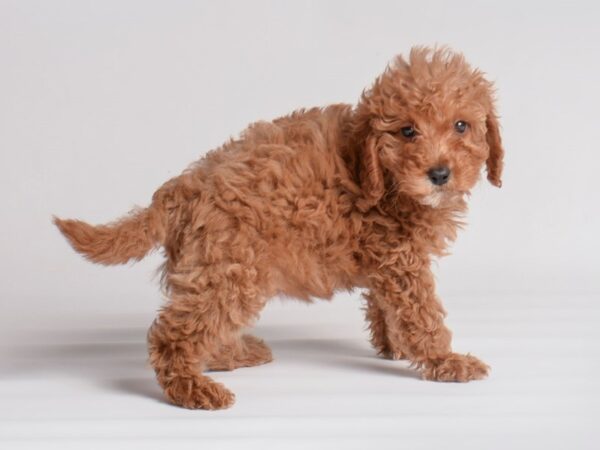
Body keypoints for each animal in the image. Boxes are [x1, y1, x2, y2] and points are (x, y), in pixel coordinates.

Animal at [56, 47, 504, 410]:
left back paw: (233, 355)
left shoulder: (388, 259)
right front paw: (445, 360)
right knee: (173, 334)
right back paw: (192, 389)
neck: (382, 177)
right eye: (408, 131)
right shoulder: (399, 257)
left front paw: (393, 347)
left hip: (209, 268)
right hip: (231, 269)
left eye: (461, 126)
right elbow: (421, 312)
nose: (439, 174)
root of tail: (182, 187)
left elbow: (385, 306)